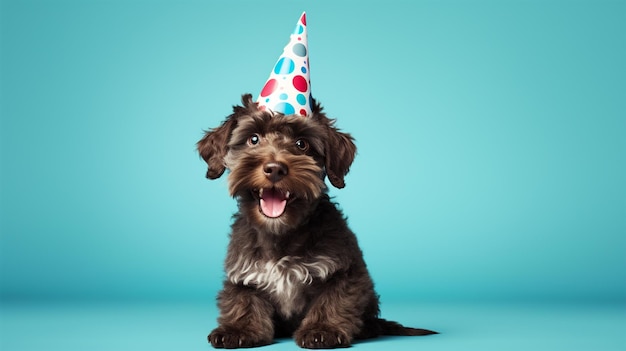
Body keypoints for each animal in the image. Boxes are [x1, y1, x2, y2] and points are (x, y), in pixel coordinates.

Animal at [196, 94, 434, 350]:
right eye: (253, 139)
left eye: (302, 144)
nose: (275, 169)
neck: (281, 232)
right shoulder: (243, 275)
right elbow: (243, 300)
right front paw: (238, 329)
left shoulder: (343, 272)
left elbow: (332, 300)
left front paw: (322, 329)